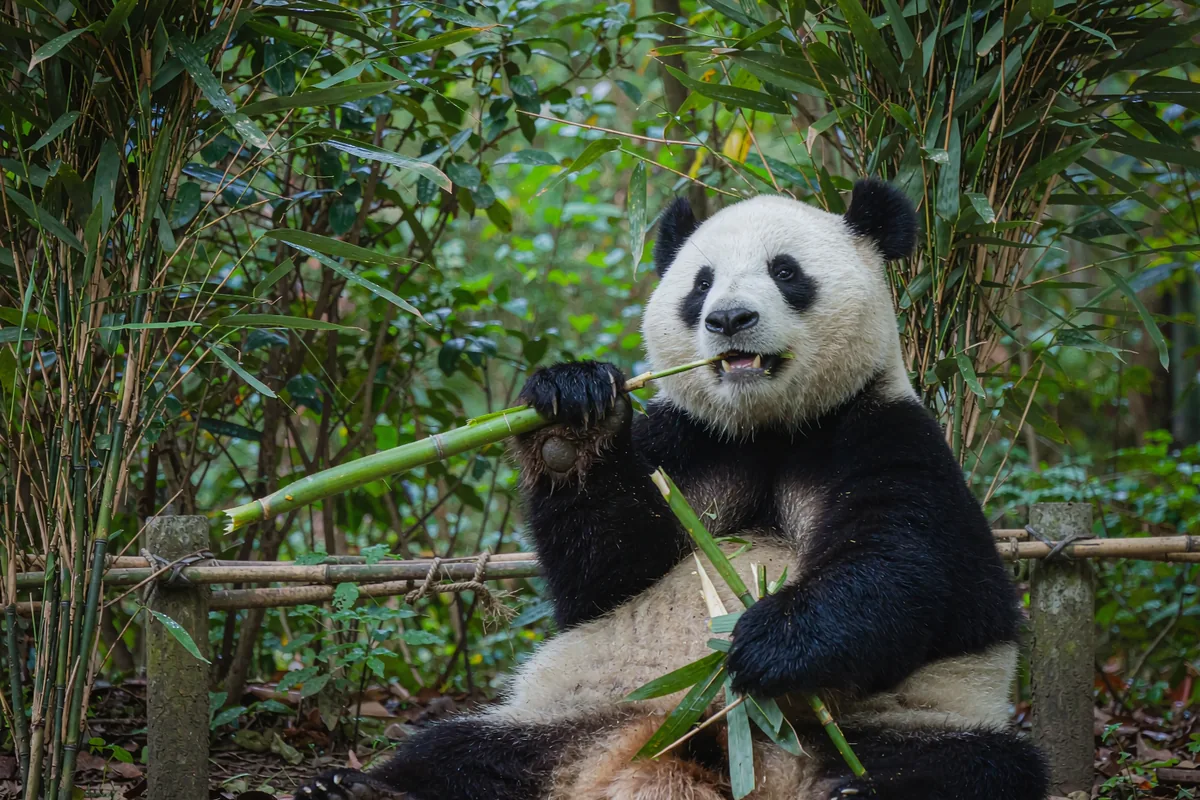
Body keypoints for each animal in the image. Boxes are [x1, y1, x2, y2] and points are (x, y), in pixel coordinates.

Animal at [296, 179, 1048, 800]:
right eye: (700, 282)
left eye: (786, 271)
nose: (729, 319)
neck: (769, 429)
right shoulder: (685, 445)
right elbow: (603, 573)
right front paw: (568, 416)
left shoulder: (882, 433)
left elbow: (901, 563)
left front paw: (764, 642)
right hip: (575, 709)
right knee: (463, 750)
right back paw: (357, 789)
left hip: (907, 720)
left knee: (972, 768)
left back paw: (858, 792)